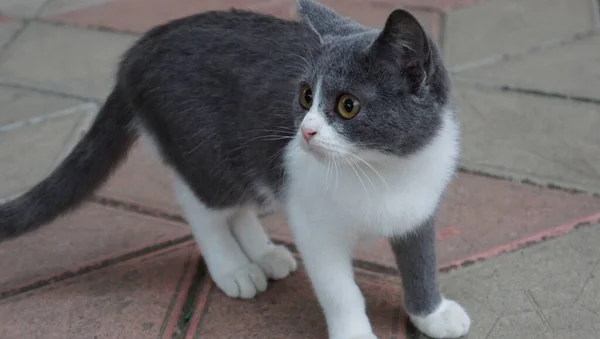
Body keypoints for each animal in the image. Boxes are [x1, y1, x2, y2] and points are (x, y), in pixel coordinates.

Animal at [0, 1, 472, 338]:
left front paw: (432, 315)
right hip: (205, 150)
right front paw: (355, 333)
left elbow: (422, 262)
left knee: (243, 199)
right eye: (305, 96)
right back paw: (233, 268)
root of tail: (137, 52)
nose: (305, 131)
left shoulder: (420, 208)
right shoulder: (315, 225)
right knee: (201, 203)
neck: (383, 171)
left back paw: (263, 254)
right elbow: (340, 290)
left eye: (347, 105)